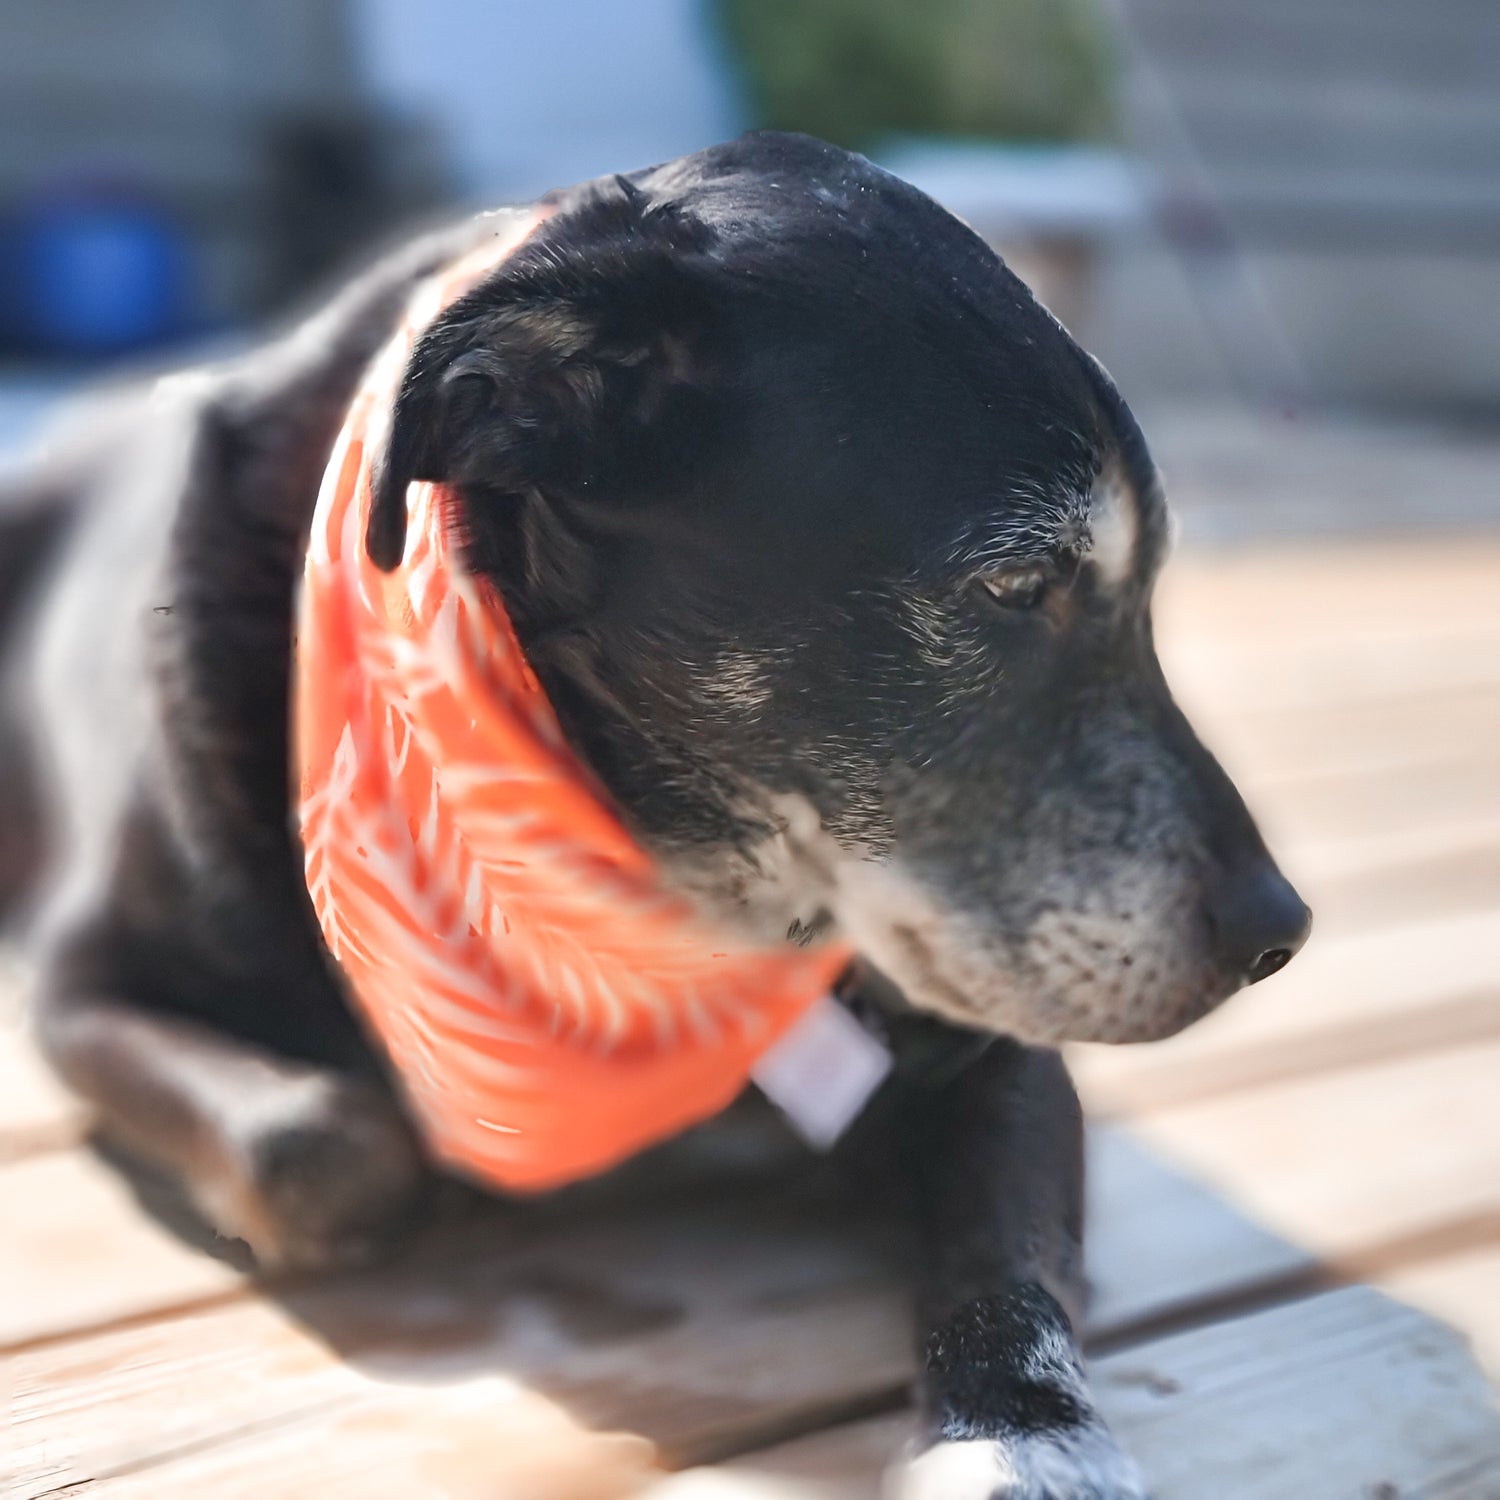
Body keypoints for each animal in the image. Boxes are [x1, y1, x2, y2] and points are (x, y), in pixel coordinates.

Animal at [0, 132, 1302, 1500]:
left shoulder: (996, 1052)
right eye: (1011, 584)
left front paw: (1016, 1431)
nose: (1279, 932)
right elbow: (318, 1143)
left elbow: (1005, 1250)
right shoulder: (83, 986)